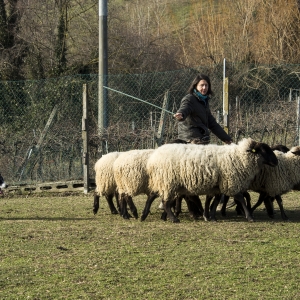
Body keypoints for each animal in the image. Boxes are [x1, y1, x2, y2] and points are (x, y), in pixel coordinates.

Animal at [146, 138, 278, 223]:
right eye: (264, 150)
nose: (276, 162)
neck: (240, 157)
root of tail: (153, 158)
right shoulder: (230, 181)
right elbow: (240, 198)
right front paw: (250, 217)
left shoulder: (219, 184)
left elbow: (214, 200)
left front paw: (211, 216)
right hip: (168, 182)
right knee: (166, 202)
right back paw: (174, 219)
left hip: (169, 183)